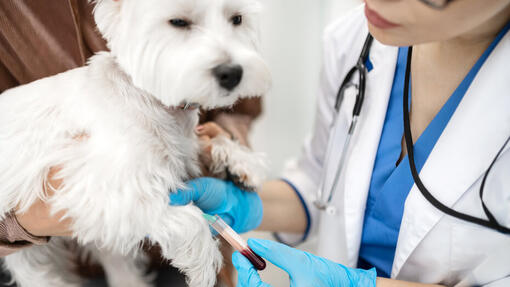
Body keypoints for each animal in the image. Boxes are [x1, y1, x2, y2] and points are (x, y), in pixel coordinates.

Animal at [0, 0, 270, 286]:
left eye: (237, 19)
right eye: (178, 22)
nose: (232, 73)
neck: (153, 101)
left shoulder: (185, 147)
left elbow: (210, 140)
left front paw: (243, 163)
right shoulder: (98, 187)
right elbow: (189, 219)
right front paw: (204, 266)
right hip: (30, 248)